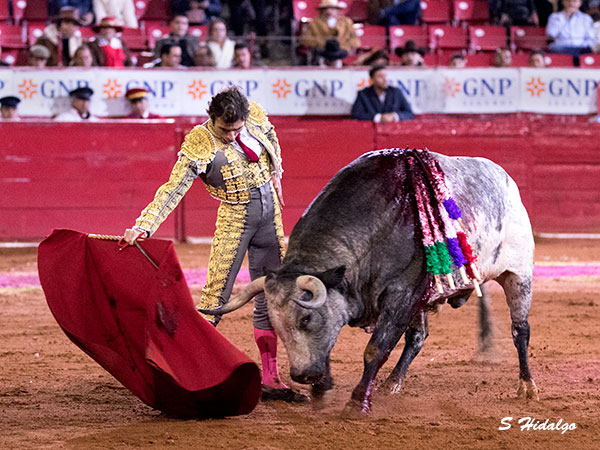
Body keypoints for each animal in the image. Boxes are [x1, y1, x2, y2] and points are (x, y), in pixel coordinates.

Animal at [200, 149, 540, 414]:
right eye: (275, 323)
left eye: (307, 318)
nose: (302, 375)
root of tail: (506, 179)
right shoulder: (407, 297)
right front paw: (323, 391)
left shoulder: (402, 294)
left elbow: (375, 349)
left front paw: (356, 403)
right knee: (418, 337)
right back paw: (392, 383)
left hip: (518, 275)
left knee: (520, 330)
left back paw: (527, 387)